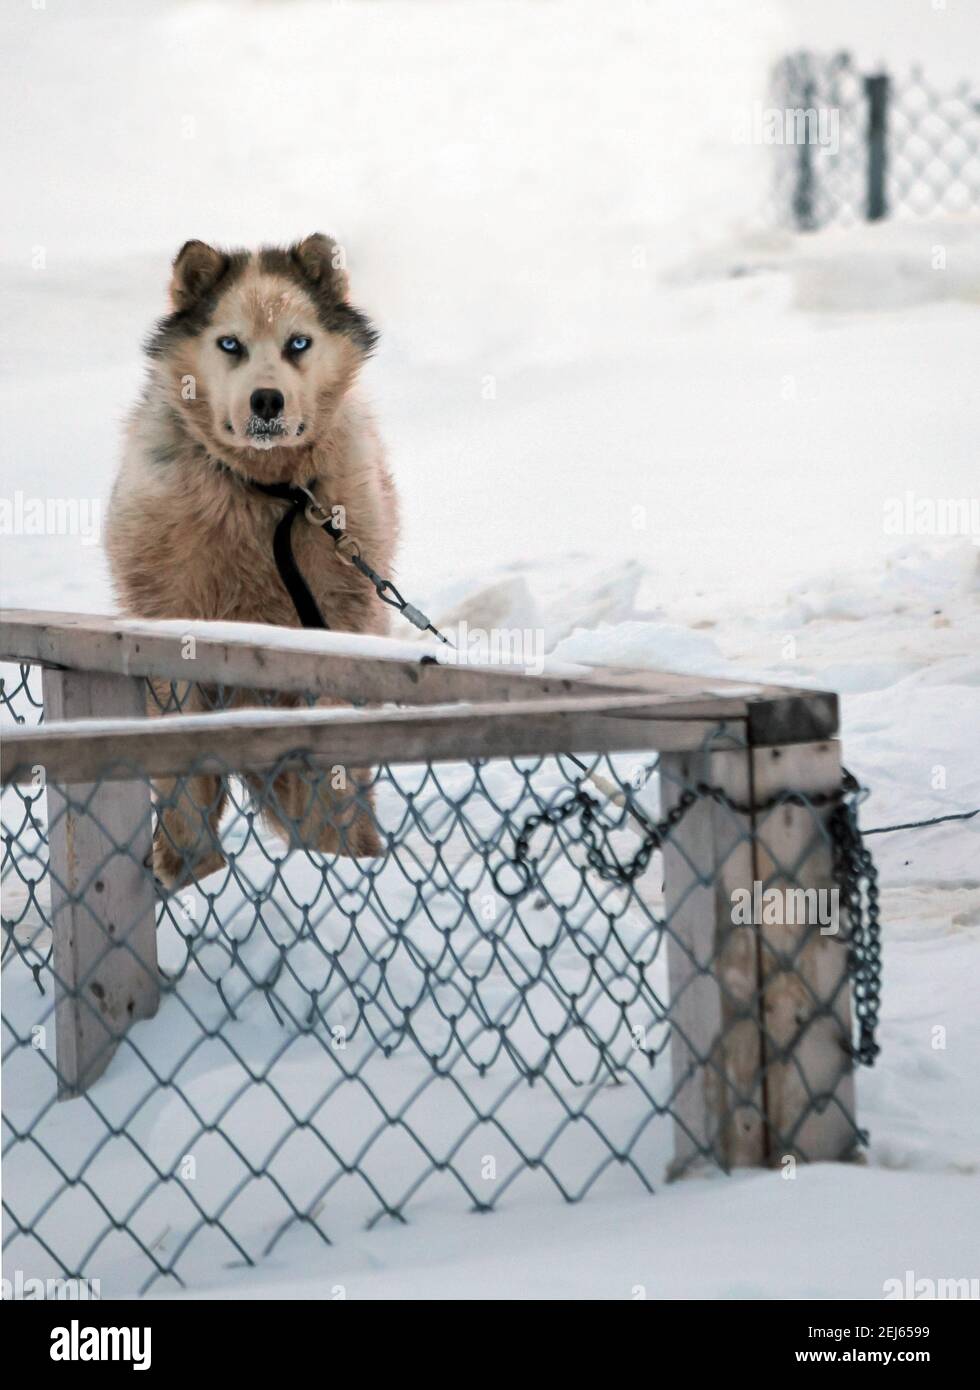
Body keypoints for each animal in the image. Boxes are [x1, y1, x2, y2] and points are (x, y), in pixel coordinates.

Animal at [104, 236, 394, 889]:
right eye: (230, 343)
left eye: (298, 343)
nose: (267, 399)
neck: (266, 493)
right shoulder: (172, 636)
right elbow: (182, 784)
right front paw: (193, 873)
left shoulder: (335, 630)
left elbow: (332, 783)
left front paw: (333, 866)